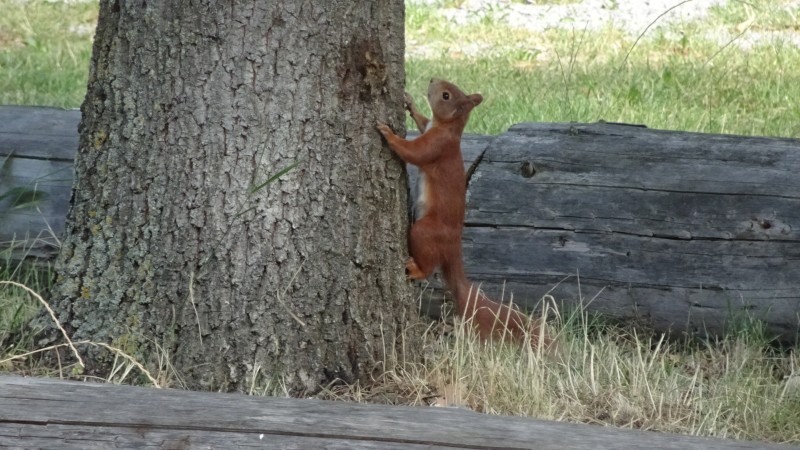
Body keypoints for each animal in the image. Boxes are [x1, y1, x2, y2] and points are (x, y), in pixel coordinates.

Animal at [378, 78, 548, 348]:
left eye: (446, 95)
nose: (432, 80)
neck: (449, 128)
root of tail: (452, 248)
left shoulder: (437, 146)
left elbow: (413, 152)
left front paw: (388, 134)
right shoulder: (429, 128)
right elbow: (422, 121)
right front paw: (410, 102)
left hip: (425, 231)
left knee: (428, 265)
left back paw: (416, 269)